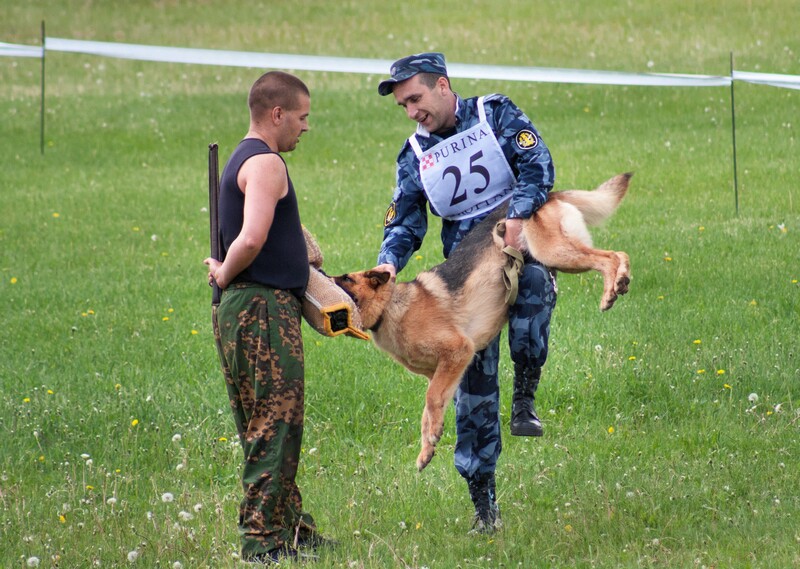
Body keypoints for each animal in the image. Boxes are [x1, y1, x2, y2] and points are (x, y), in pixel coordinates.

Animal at [332, 172, 632, 470]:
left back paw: (613, 288)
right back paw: (620, 282)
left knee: (611, 256)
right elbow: (430, 409)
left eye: (345, 278)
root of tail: (548, 195)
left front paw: (431, 438)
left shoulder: (458, 350)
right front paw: (427, 449)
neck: (390, 307)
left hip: (554, 252)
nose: (321, 274)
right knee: (618, 255)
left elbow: (431, 399)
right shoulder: (445, 371)